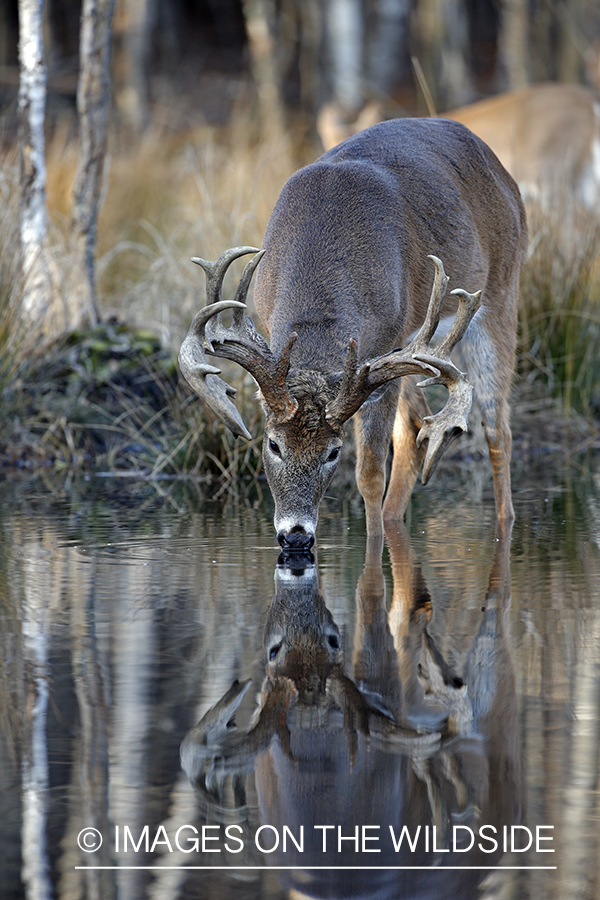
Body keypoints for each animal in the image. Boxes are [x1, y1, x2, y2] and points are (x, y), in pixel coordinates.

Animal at [178, 117, 524, 548]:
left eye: (333, 452)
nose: (296, 536)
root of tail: (501, 170)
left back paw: (504, 523)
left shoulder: (386, 346)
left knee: (497, 430)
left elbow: (370, 473)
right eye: (273, 444)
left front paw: (372, 547)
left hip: (500, 295)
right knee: (416, 428)